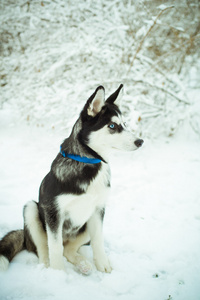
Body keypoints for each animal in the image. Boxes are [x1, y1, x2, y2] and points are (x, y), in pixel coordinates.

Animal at [0, 84, 144, 274]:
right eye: (112, 126)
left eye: (125, 124)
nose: (140, 141)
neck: (88, 162)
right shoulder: (54, 212)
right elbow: (54, 247)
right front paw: (58, 274)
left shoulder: (98, 210)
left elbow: (98, 241)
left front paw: (102, 264)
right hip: (31, 210)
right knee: (43, 248)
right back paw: (47, 267)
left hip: (86, 225)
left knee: (68, 249)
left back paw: (83, 264)